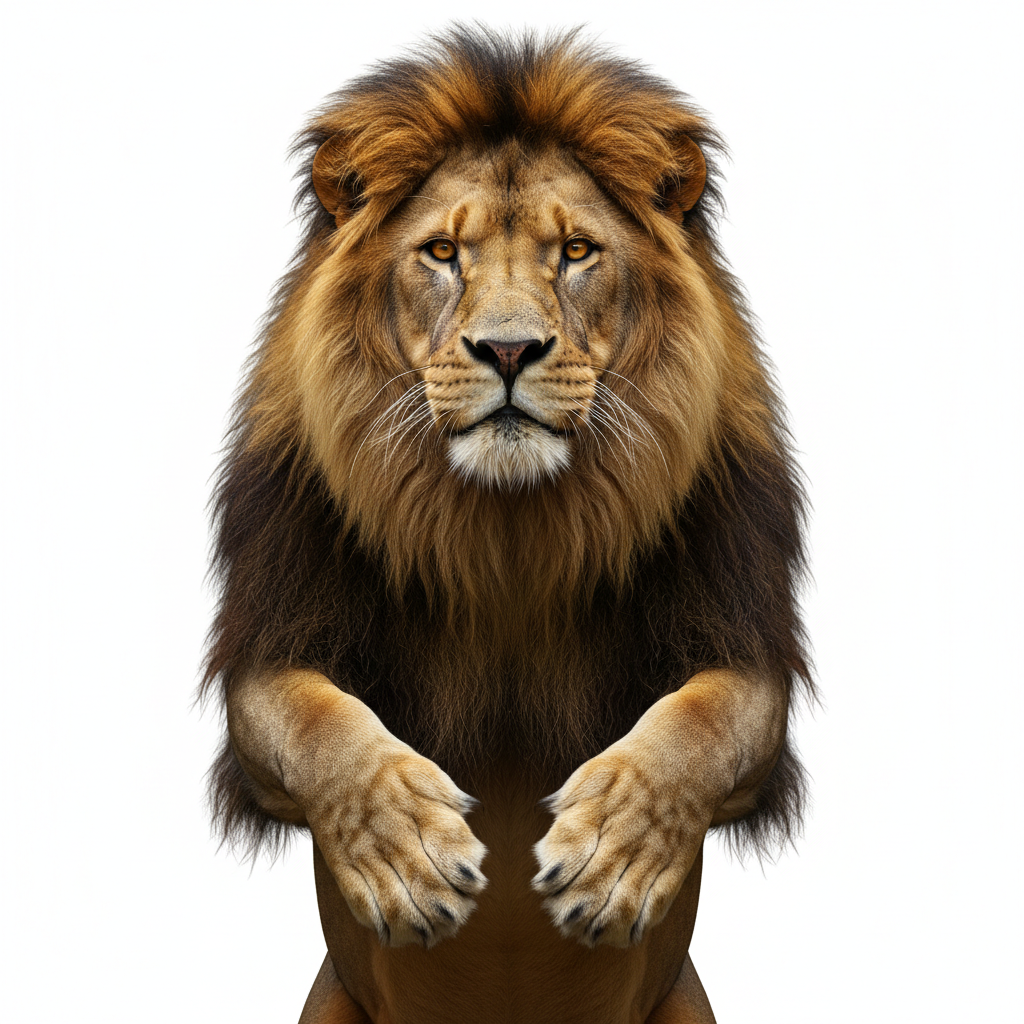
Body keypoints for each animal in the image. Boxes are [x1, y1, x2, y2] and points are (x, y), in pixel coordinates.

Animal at [203, 27, 812, 1024]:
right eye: (443, 251)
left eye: (576, 251)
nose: (510, 349)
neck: (508, 534)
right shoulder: (271, 644)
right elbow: (318, 727)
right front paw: (409, 849)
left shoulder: (744, 643)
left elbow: (703, 725)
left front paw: (610, 848)